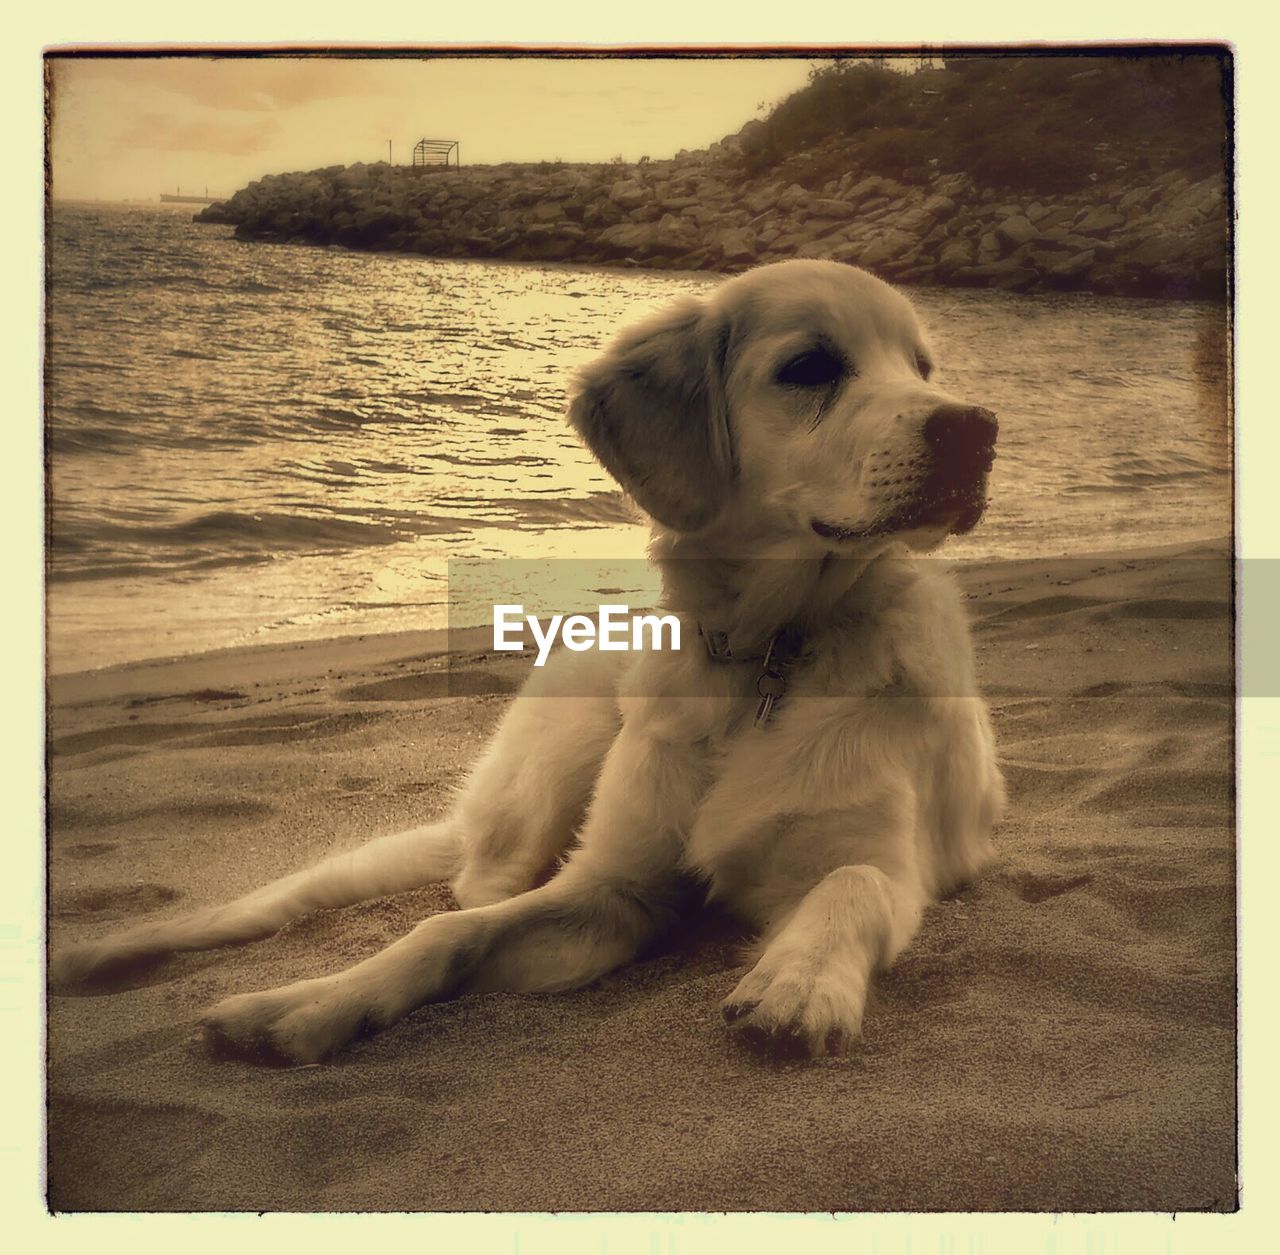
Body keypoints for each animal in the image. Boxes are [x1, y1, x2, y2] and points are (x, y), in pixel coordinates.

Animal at [55, 259, 1003, 1065]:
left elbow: (854, 881)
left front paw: (798, 980)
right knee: (470, 887)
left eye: (922, 366)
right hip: (560, 753)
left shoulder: (886, 862)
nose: (976, 427)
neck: (767, 655)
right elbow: (443, 933)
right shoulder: (616, 887)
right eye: (810, 366)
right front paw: (313, 999)